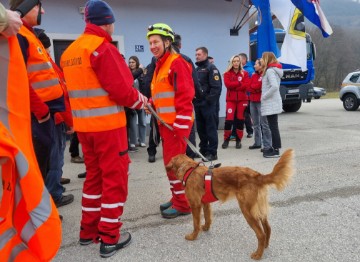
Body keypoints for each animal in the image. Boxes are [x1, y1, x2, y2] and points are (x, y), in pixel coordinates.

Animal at [166, 148, 296, 258]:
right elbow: (207, 218)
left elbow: (195, 224)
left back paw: (258, 255)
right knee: (268, 228)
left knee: (261, 234)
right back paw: (265, 246)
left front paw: (193, 236)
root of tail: (257, 176)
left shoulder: (195, 204)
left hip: (247, 210)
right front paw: (206, 228)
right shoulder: (205, 204)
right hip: (258, 209)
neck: (189, 169)